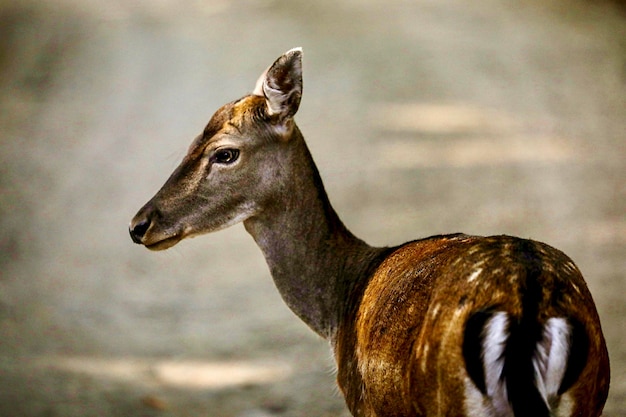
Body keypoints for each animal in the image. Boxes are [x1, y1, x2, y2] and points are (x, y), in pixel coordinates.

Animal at [129, 48, 608, 416]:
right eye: (191, 143)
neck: (338, 306)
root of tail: (529, 309)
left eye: (225, 153)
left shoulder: (365, 403)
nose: (139, 225)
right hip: (588, 394)